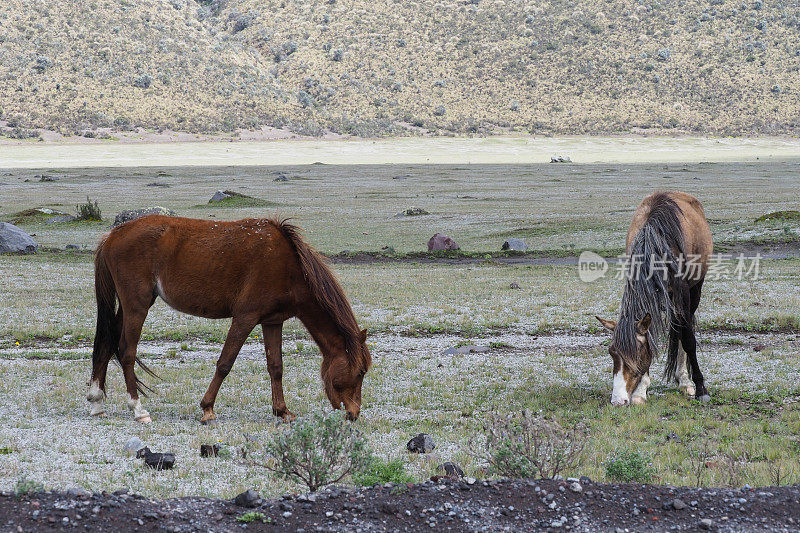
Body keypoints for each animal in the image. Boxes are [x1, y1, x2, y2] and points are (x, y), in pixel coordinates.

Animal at [86, 214, 374, 422]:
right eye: (361, 372)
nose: (354, 414)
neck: (289, 266)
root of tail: (113, 235)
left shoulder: (272, 322)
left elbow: (276, 367)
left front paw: (282, 411)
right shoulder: (245, 318)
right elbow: (225, 363)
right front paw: (207, 408)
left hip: (129, 306)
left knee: (107, 343)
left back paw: (97, 402)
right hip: (137, 306)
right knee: (127, 352)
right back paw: (138, 410)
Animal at [592, 193, 712, 406]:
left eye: (637, 353)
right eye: (612, 352)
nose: (618, 400)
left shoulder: (682, 297)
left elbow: (688, 340)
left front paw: (700, 388)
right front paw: (641, 391)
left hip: (694, 291)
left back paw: (684, 380)